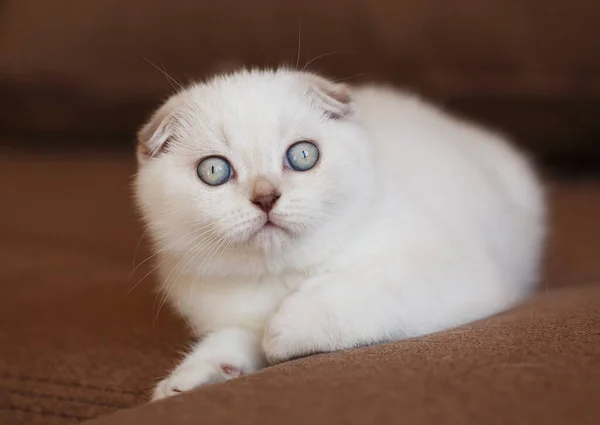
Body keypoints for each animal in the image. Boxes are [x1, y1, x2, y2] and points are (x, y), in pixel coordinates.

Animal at [134, 68, 548, 400]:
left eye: (303, 155)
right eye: (214, 170)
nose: (266, 197)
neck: (281, 275)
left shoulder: (456, 272)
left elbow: (363, 292)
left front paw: (284, 330)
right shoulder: (229, 312)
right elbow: (232, 338)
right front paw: (189, 379)